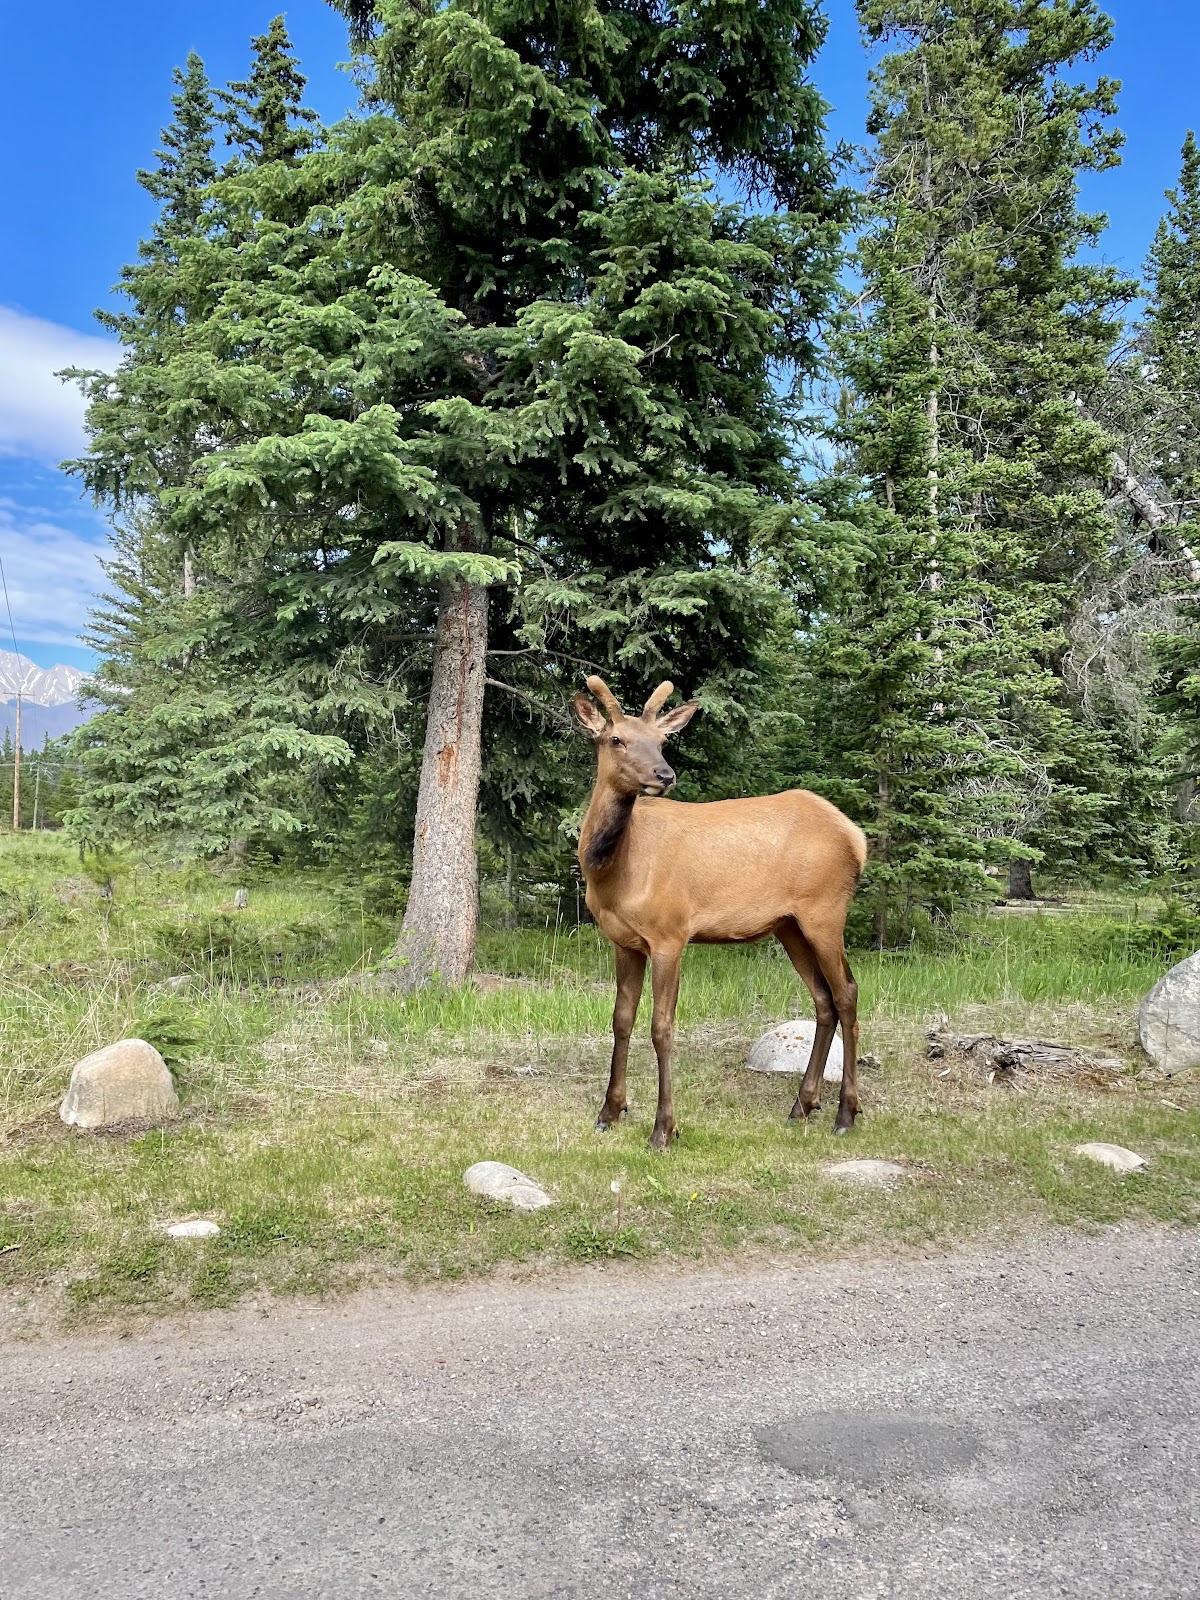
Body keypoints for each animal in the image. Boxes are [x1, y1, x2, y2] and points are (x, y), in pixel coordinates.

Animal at [579, 675, 870, 1152]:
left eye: (662, 740)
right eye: (616, 738)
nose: (664, 775)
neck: (613, 872)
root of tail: (857, 837)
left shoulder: (670, 934)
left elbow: (661, 1027)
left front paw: (664, 1128)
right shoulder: (624, 941)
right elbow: (621, 1020)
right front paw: (609, 1111)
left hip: (825, 911)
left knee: (846, 991)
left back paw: (846, 1112)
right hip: (789, 925)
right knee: (823, 999)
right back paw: (802, 1105)